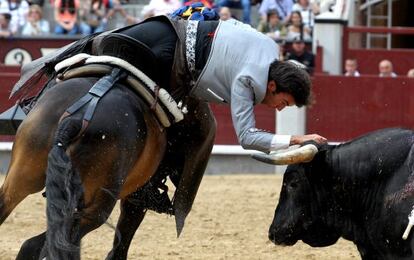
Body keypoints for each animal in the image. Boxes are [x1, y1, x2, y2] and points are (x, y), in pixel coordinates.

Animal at [0, 64, 217, 258]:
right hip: (97, 206)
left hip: (21, 177)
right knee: (44, 243)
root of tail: (75, 120)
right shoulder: (137, 197)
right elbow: (122, 241)